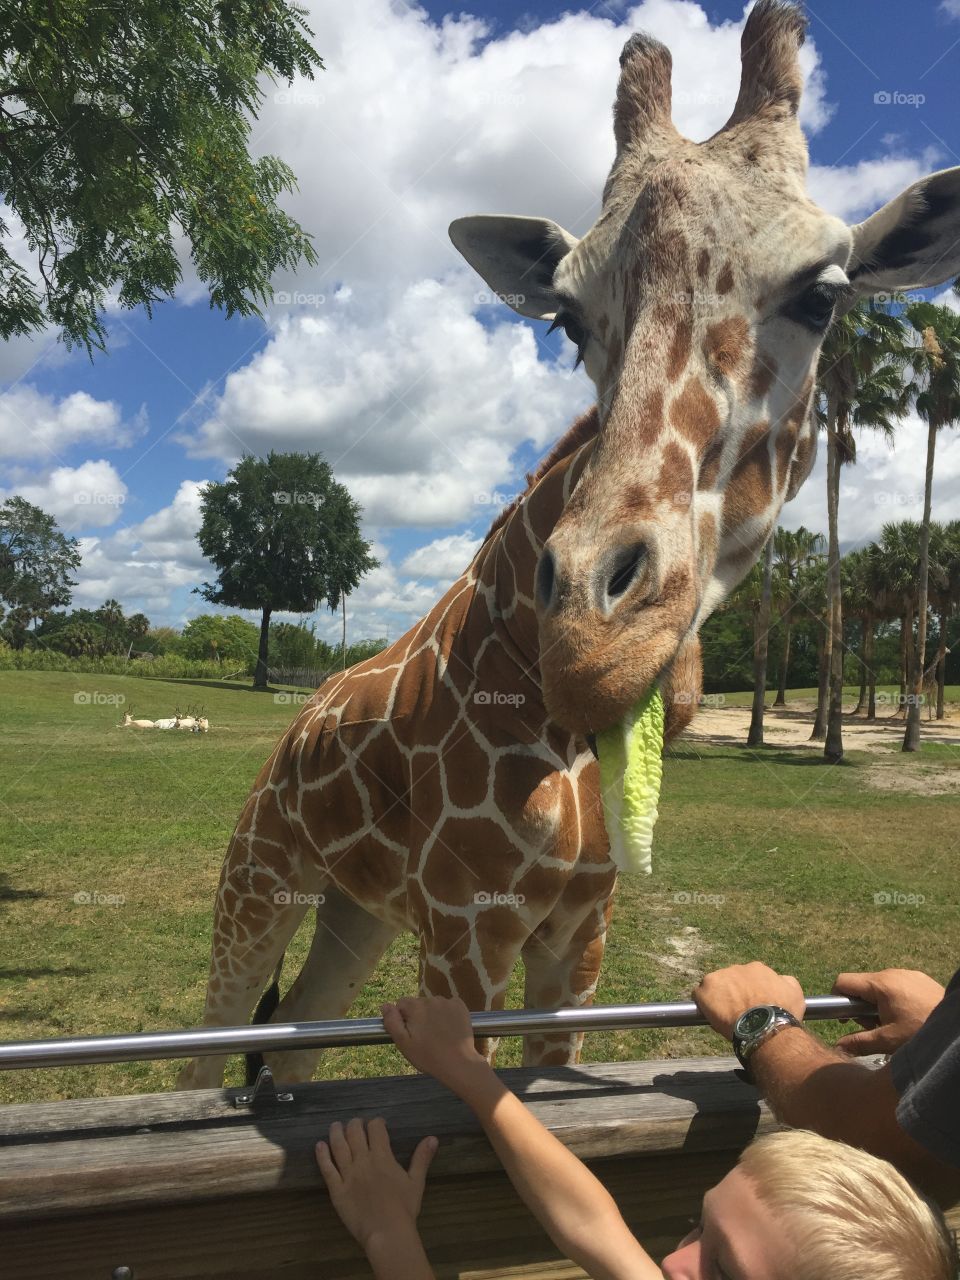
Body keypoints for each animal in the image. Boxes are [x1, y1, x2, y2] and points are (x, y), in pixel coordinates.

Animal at [178, 0, 960, 1089]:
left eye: (823, 292)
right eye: (566, 320)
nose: (597, 646)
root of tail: (296, 724)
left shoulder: (579, 930)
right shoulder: (467, 926)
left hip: (355, 914)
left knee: (291, 1046)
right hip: (258, 879)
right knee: (207, 1052)